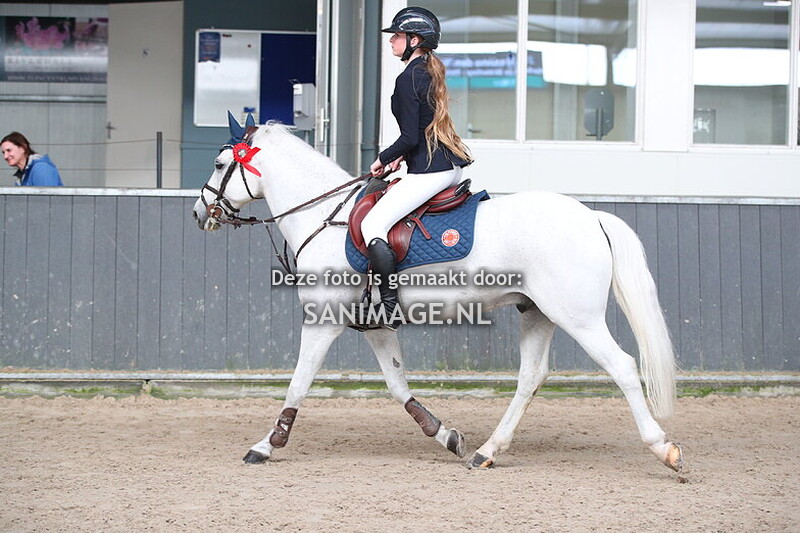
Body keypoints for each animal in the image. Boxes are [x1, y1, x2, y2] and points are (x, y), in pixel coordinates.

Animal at [192, 122, 684, 473]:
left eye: (218, 164)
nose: (200, 213)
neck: (324, 217)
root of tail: (591, 216)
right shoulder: (375, 325)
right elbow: (397, 387)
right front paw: (445, 435)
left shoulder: (322, 320)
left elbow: (298, 383)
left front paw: (266, 445)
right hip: (538, 313)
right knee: (531, 377)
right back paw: (486, 451)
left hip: (578, 317)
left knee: (622, 367)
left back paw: (663, 449)